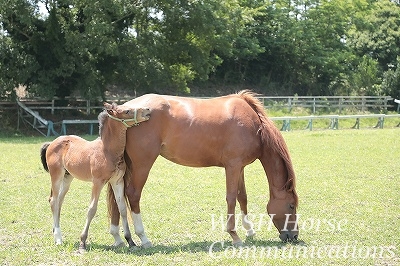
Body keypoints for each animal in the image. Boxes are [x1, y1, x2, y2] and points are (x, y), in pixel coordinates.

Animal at [108, 90, 298, 247]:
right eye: (291, 205)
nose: (294, 236)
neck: (254, 125)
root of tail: (125, 108)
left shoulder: (240, 167)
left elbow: (242, 197)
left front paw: (250, 230)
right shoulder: (233, 166)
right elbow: (231, 198)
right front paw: (234, 235)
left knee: (119, 197)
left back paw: (122, 238)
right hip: (142, 164)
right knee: (133, 194)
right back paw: (143, 238)